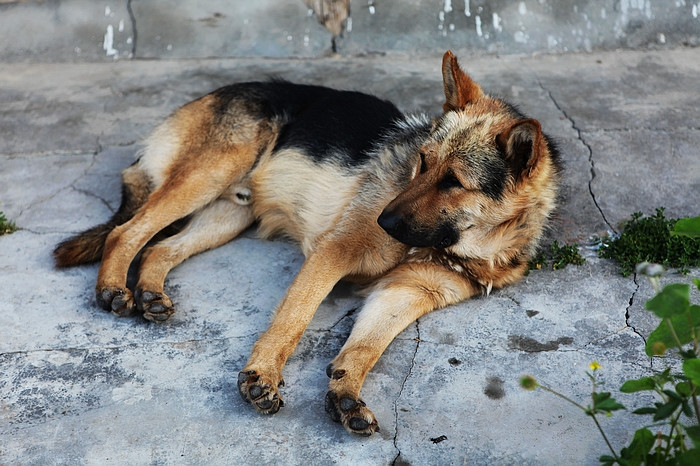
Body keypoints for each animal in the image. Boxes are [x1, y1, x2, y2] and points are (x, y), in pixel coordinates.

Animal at [52, 52, 560, 436]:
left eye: (454, 182)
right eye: (422, 162)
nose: (384, 219)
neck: (454, 243)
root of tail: (212, 94)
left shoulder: (407, 292)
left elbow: (365, 347)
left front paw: (345, 392)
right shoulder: (332, 254)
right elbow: (294, 319)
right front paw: (263, 376)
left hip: (229, 212)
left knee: (160, 247)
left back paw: (151, 293)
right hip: (209, 175)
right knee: (127, 231)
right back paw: (113, 287)